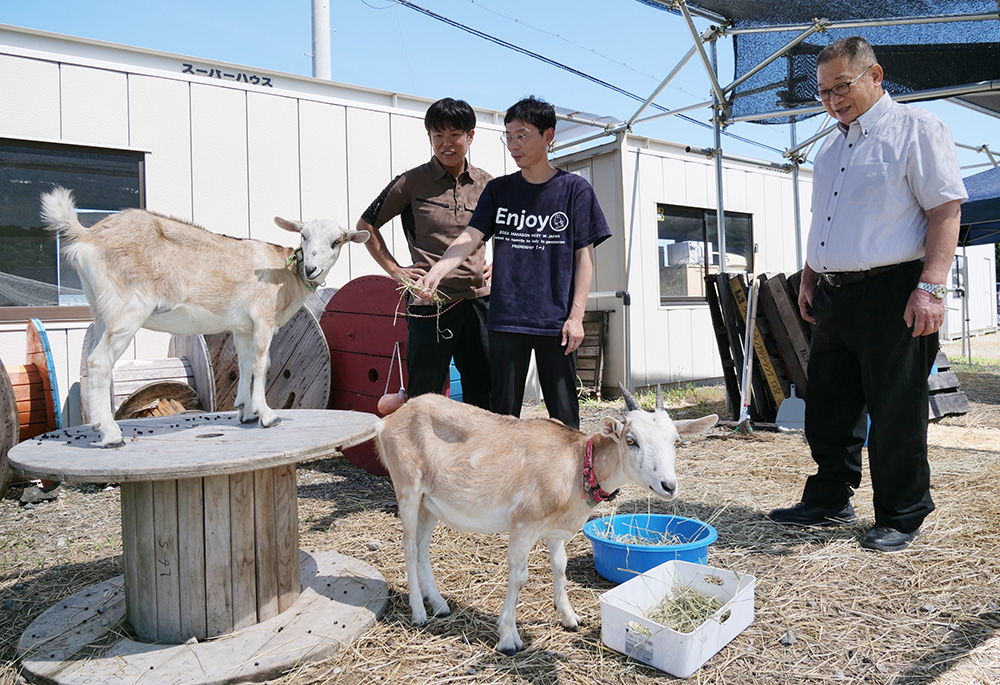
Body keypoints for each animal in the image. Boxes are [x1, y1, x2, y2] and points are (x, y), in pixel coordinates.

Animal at [42, 184, 372, 446]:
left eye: (336, 241)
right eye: (303, 235)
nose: (312, 269)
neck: (284, 272)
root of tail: (87, 235)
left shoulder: (242, 327)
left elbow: (246, 363)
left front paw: (246, 412)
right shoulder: (263, 318)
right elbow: (263, 364)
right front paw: (267, 415)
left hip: (101, 310)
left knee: (90, 360)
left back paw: (99, 425)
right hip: (127, 309)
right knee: (99, 363)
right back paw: (112, 435)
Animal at [376, 388, 720, 656]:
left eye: (675, 441)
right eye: (631, 440)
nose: (668, 486)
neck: (576, 464)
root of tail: (386, 422)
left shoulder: (555, 530)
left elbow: (560, 566)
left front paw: (569, 617)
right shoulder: (523, 525)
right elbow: (519, 577)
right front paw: (509, 637)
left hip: (430, 503)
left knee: (422, 545)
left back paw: (438, 603)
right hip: (408, 488)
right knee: (408, 545)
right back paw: (418, 612)